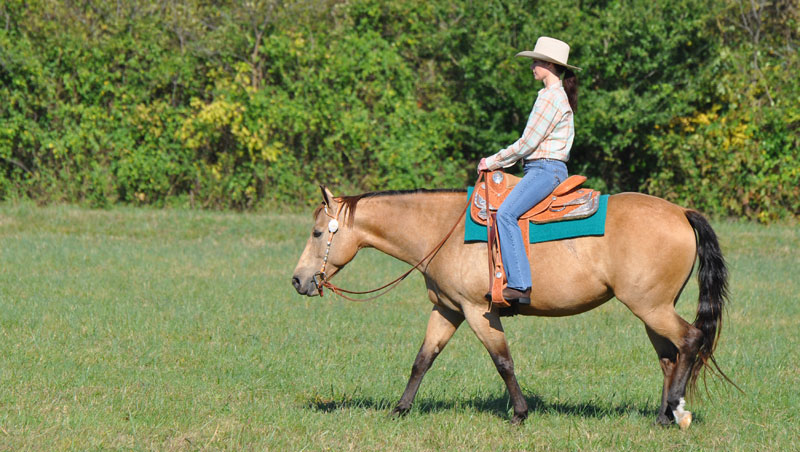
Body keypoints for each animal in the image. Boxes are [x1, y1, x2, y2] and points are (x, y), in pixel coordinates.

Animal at [294, 183, 732, 428]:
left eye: (317, 233)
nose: (298, 280)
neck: (443, 231)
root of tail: (681, 212)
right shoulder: (447, 310)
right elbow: (423, 360)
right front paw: (399, 411)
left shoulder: (478, 311)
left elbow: (502, 361)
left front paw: (520, 414)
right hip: (651, 310)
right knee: (669, 359)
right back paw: (662, 417)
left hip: (651, 307)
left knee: (690, 341)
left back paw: (677, 411)